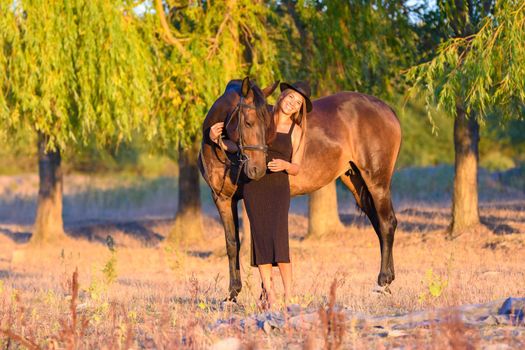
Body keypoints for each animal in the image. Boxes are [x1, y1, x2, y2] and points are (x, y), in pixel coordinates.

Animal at [198, 77, 402, 300]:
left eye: (268, 126)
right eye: (249, 122)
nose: (257, 170)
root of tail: (387, 110)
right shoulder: (223, 199)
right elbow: (232, 242)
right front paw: (235, 294)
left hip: (377, 182)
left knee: (387, 223)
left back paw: (382, 282)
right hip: (357, 183)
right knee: (379, 225)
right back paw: (388, 283)